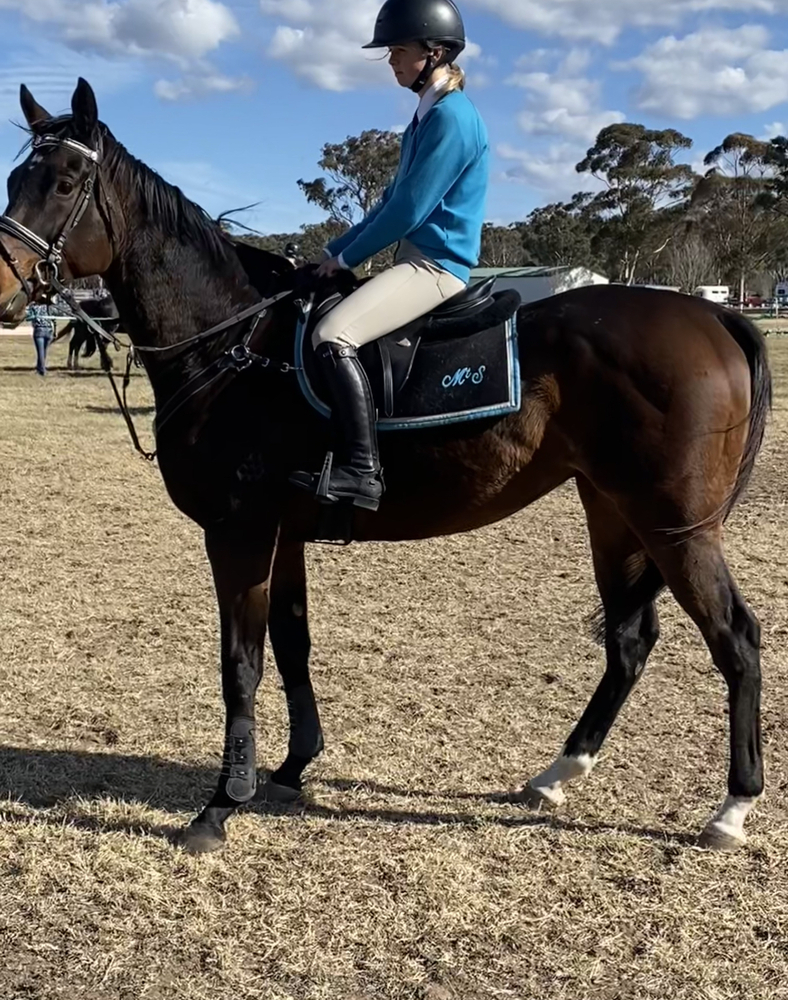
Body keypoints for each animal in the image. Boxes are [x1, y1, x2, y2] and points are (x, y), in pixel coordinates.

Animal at [0, 79, 772, 855]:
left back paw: (732, 809)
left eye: (65, 181)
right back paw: (557, 773)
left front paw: (219, 808)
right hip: (612, 512)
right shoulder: (282, 536)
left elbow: (241, 665)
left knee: (734, 637)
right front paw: (290, 770)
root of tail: (712, 317)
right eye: (15, 180)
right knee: (631, 638)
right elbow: (293, 644)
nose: (4, 287)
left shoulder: (237, 533)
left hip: (673, 525)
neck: (238, 344)